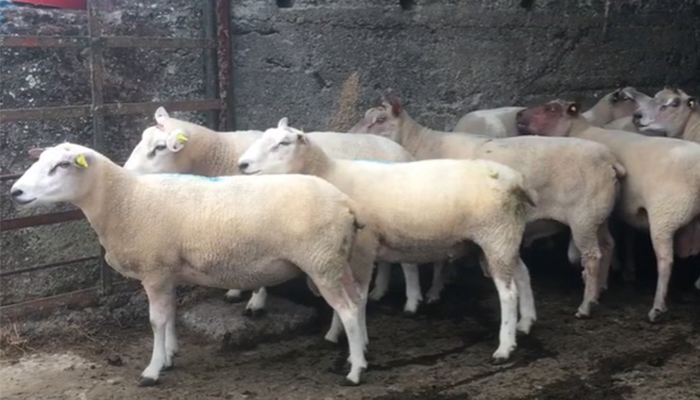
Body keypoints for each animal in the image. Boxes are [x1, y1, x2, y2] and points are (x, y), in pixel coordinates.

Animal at [10, 142, 375, 386]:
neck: (124, 200)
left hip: (320, 260)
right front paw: (170, 355)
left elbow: (156, 321)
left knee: (346, 309)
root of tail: (346, 203)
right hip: (336, 260)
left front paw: (152, 370)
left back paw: (355, 371)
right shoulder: (167, 271)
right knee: (358, 300)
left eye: (61, 165)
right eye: (41, 160)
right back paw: (360, 351)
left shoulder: (155, 270)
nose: (15, 192)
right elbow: (170, 315)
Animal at [124, 107, 414, 317]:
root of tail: (403, 150)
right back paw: (379, 291)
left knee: (407, 260)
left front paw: (256, 301)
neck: (220, 155)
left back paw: (411, 302)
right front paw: (234, 290)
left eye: (160, 147)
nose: (126, 172)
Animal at [237, 119, 538, 363]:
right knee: (523, 273)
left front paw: (358, 344)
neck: (331, 175)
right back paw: (526, 323)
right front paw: (337, 333)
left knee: (508, 293)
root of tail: (517, 180)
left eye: (283, 143)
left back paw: (505, 347)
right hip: (503, 236)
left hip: (495, 234)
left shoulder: (362, 246)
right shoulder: (340, 253)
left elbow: (357, 297)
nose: (242, 165)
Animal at [348, 93, 624, 318]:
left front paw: (434, 292)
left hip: (583, 218)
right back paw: (599, 292)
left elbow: (440, 260)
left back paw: (585, 306)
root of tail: (610, 160)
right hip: (598, 216)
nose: (351, 135)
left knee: (592, 256)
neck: (421, 144)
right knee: (608, 246)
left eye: (380, 119)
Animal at [515, 99, 700, 322]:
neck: (579, 130)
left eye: (551, 109)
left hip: (664, 217)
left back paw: (656, 307)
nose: (519, 114)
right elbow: (614, 241)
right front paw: (607, 281)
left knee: (665, 261)